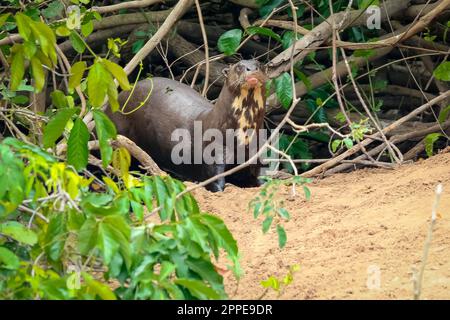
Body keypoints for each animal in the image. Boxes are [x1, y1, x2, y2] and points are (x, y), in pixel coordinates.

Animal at [107, 60, 268, 191]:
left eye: (259, 64)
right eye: (239, 67)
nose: (252, 68)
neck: (241, 140)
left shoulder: (255, 157)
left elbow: (257, 179)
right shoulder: (214, 155)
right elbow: (215, 182)